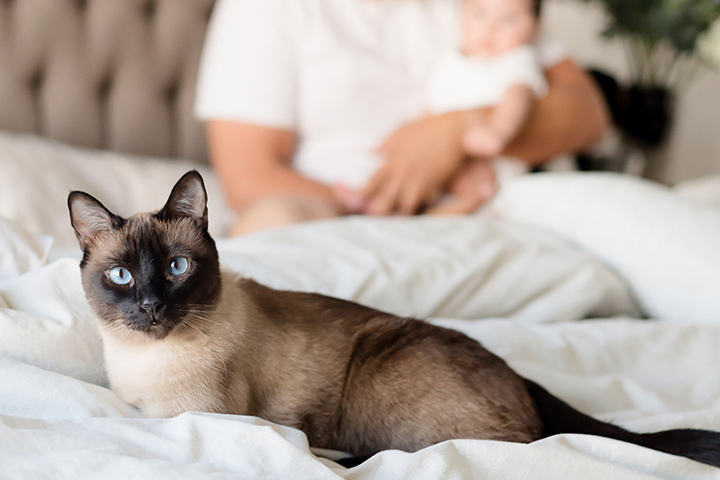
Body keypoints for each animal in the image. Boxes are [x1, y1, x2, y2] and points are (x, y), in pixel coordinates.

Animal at [68, 170, 720, 467]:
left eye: (177, 267)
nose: (152, 308)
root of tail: (523, 381)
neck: (146, 363)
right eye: (122, 276)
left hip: (377, 368)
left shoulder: (195, 416)